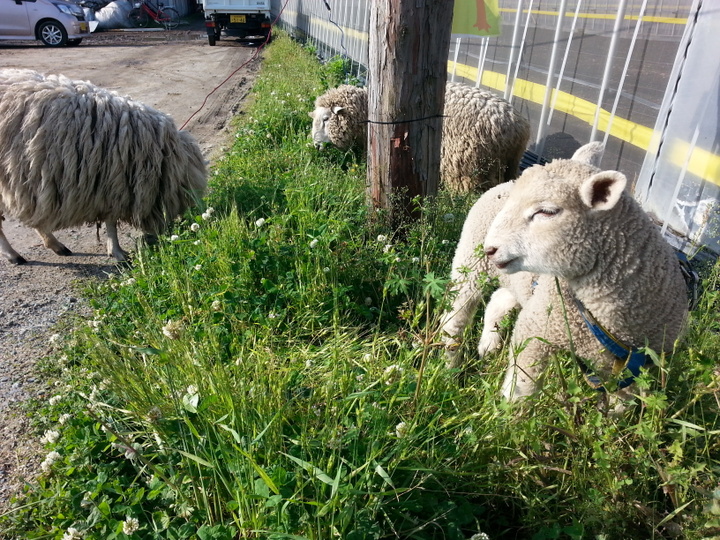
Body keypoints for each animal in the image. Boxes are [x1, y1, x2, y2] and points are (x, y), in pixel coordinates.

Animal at [0, 67, 208, 266]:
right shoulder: (111, 184)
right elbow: (111, 223)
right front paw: (117, 252)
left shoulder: (110, 186)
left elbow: (110, 221)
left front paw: (114, 249)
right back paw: (14, 255)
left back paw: (55, 245)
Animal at [310, 81, 528, 193]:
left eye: (326, 119)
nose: (315, 146)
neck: (367, 110)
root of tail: (517, 128)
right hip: (509, 165)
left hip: (467, 169)